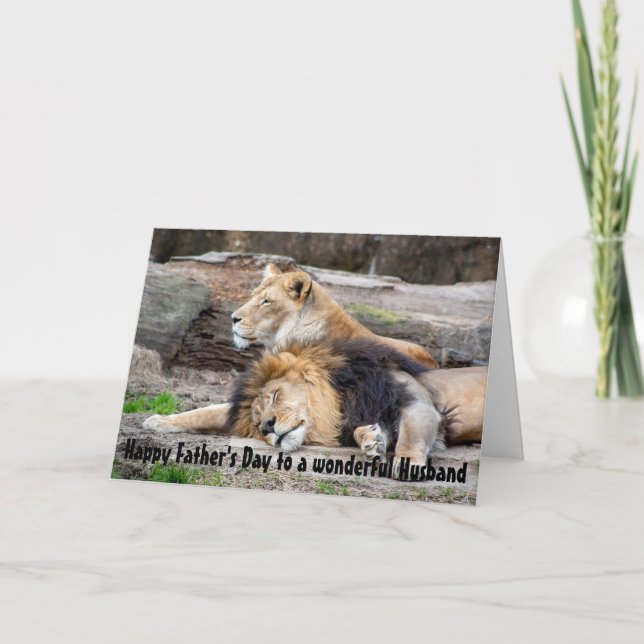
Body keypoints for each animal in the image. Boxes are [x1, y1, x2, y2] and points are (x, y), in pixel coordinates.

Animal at [143, 340, 487, 477]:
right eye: (255, 422)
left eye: (275, 395)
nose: (267, 427)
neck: (338, 403)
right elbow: (208, 411)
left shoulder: (416, 401)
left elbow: (412, 436)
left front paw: (405, 464)